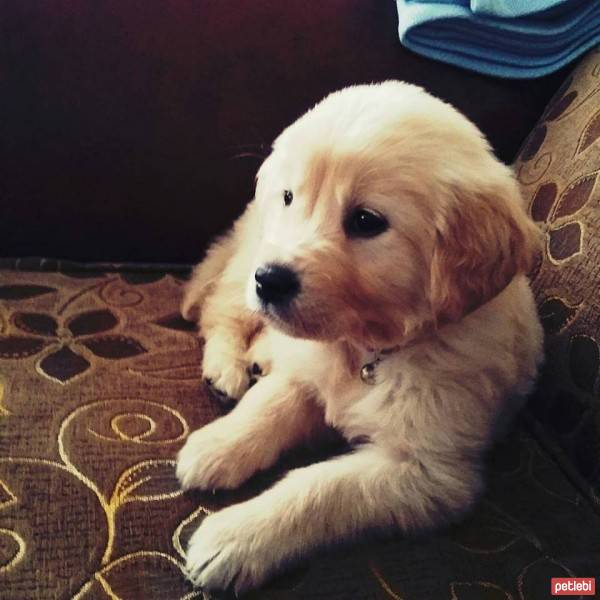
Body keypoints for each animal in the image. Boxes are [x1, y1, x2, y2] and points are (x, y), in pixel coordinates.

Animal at [177, 81, 544, 596]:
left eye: (366, 221)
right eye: (290, 196)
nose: (269, 281)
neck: (366, 351)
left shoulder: (428, 471)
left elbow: (319, 486)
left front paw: (234, 537)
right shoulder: (306, 371)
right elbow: (267, 406)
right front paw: (217, 446)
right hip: (248, 257)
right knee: (219, 310)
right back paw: (226, 368)